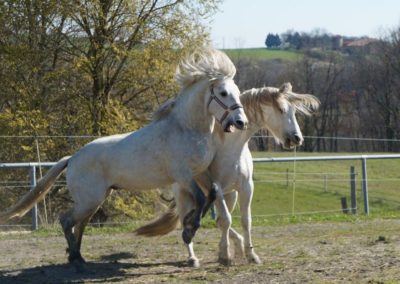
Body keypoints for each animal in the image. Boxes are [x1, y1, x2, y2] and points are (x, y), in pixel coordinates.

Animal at [0, 47, 248, 270]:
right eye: (223, 93)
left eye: (237, 91)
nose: (240, 122)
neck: (186, 128)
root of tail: (73, 158)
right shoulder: (184, 175)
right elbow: (200, 198)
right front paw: (188, 231)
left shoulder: (200, 173)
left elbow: (211, 194)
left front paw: (188, 226)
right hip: (89, 199)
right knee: (67, 220)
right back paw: (75, 258)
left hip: (95, 199)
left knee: (80, 224)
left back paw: (78, 256)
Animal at [134, 82, 318, 266]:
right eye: (281, 109)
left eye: (293, 111)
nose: (297, 138)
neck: (231, 149)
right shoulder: (217, 189)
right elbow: (225, 220)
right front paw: (224, 256)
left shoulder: (245, 188)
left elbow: (244, 220)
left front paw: (250, 254)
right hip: (184, 195)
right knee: (190, 221)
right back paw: (193, 257)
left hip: (230, 196)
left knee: (214, 220)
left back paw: (236, 246)